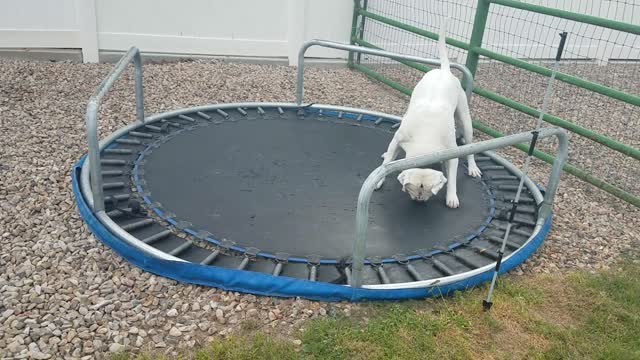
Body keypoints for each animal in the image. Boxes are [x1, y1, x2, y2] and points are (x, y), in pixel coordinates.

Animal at [376, 19, 480, 210]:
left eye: (428, 192)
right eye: (411, 190)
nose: (418, 201)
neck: (425, 138)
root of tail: (444, 70)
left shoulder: (451, 152)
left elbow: (452, 175)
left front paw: (451, 196)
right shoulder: (397, 140)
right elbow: (387, 162)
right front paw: (380, 177)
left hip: (465, 119)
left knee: (469, 146)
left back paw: (472, 167)